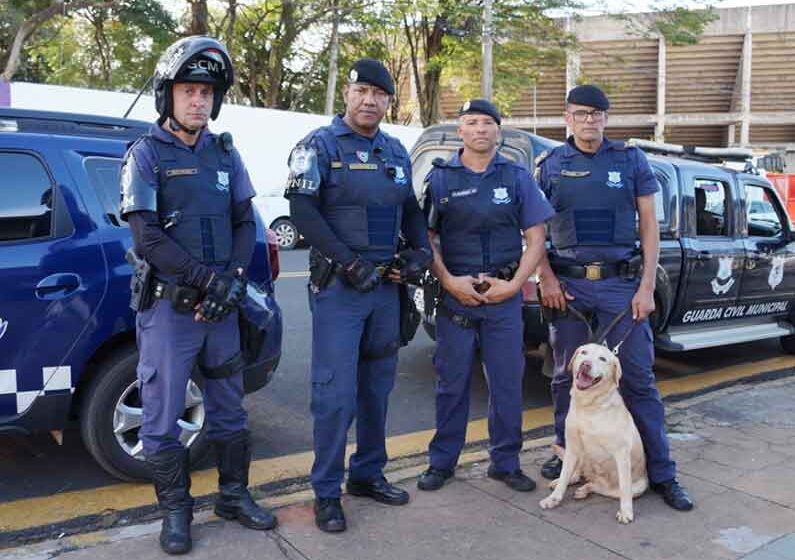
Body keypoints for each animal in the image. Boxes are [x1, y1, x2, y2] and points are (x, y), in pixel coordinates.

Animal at [536, 344, 648, 524]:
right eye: (584, 352)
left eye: (602, 359)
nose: (585, 364)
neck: (589, 406)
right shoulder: (572, 446)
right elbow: (565, 474)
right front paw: (554, 498)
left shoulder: (622, 454)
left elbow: (625, 488)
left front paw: (626, 512)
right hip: (580, 457)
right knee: (575, 475)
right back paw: (567, 481)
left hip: (637, 487)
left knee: (600, 488)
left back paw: (584, 489)